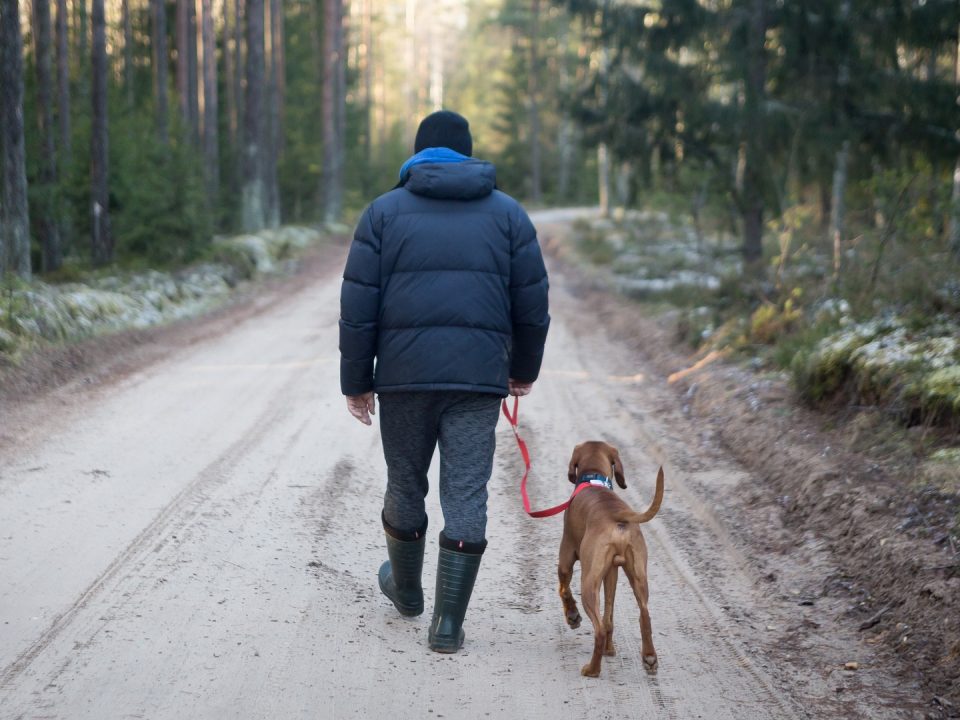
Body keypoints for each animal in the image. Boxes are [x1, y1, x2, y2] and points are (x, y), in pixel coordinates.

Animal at [560, 442, 664, 676]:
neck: (594, 477)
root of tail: (618, 515)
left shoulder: (566, 556)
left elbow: (563, 589)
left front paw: (572, 616)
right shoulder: (612, 573)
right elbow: (610, 617)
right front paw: (611, 650)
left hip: (589, 582)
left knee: (598, 628)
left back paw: (592, 670)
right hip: (638, 577)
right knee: (643, 615)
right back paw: (649, 658)